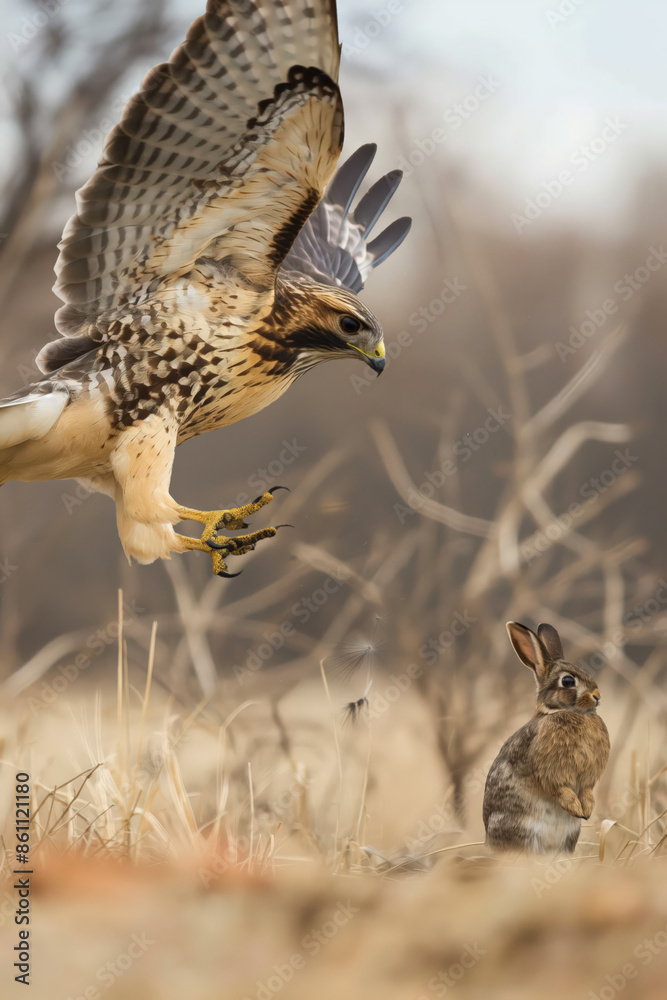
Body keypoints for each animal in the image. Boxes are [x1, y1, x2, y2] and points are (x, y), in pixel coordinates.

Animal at [486, 620, 612, 856]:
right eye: (568, 681)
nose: (597, 696)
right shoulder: (549, 770)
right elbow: (558, 787)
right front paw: (575, 807)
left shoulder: (588, 777)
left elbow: (587, 789)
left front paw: (586, 808)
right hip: (523, 829)